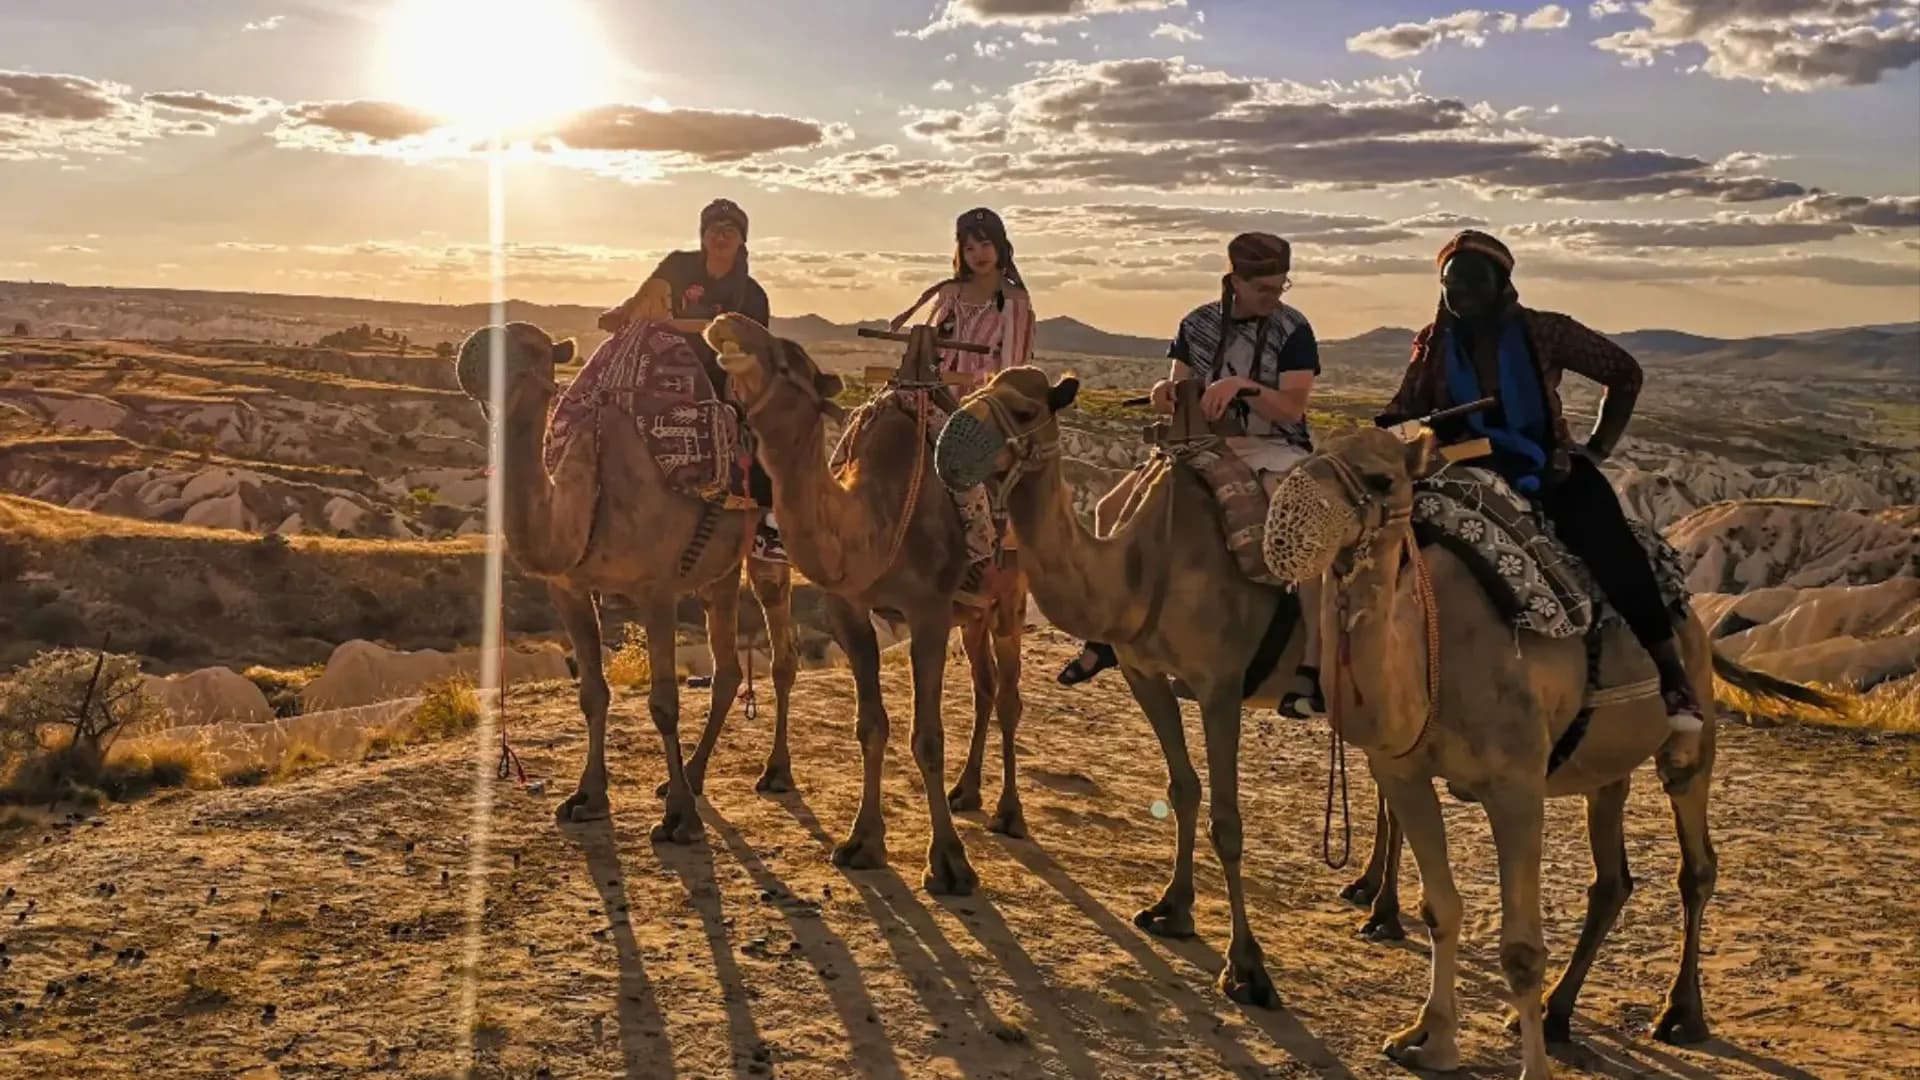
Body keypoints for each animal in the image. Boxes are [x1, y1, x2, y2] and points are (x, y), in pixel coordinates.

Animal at [452, 321, 798, 841]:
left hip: (768, 542)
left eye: (531, 347)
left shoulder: (656, 590)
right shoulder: (569, 589)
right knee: (727, 666)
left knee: (780, 650)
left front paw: (680, 818)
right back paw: (693, 773)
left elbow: (664, 703)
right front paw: (588, 797)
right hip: (719, 572)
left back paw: (774, 772)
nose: (471, 352)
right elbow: (593, 693)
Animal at [705, 315, 1028, 897]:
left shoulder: (929, 612)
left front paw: (949, 863)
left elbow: (927, 736)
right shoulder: (849, 609)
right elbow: (870, 724)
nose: (727, 323)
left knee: (1010, 697)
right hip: (974, 613)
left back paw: (1009, 813)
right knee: (986, 687)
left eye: (791, 358)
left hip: (1010, 597)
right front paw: (862, 842)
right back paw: (966, 792)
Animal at [932, 366, 1308, 1007]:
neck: (1143, 565)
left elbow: (1227, 820)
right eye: (975, 390)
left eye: (1026, 411)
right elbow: (1183, 789)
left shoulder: (1220, 684)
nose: (949, 448)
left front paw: (1247, 967)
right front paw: (1172, 910)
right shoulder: (1144, 674)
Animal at [1265, 424, 1833, 1080]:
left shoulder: (1515, 787)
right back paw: (1558, 1013)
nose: (1286, 524)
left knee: (1696, 864)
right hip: (1604, 771)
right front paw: (1428, 1038)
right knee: (1611, 881)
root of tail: (1695, 620)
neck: (1435, 649)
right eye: (1312, 454)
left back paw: (1679, 1016)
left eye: (1383, 479)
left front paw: (1524, 1066)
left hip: (1689, 739)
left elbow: (1520, 949)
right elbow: (1440, 909)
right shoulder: (1405, 773)